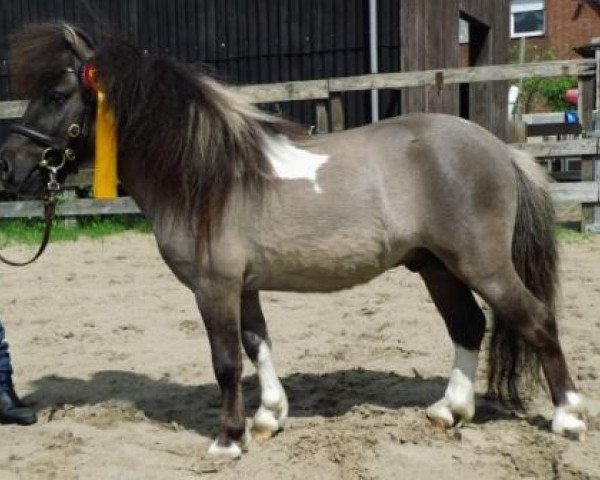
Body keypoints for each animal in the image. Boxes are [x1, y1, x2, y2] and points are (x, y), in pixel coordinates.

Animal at [0, 23, 584, 458]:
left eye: (56, 95)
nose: (9, 166)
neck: (207, 176)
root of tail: (498, 149)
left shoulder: (213, 288)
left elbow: (226, 362)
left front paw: (228, 441)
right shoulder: (243, 286)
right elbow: (257, 344)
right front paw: (268, 417)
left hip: (481, 264)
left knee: (536, 320)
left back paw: (568, 418)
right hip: (436, 266)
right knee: (467, 326)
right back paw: (449, 411)